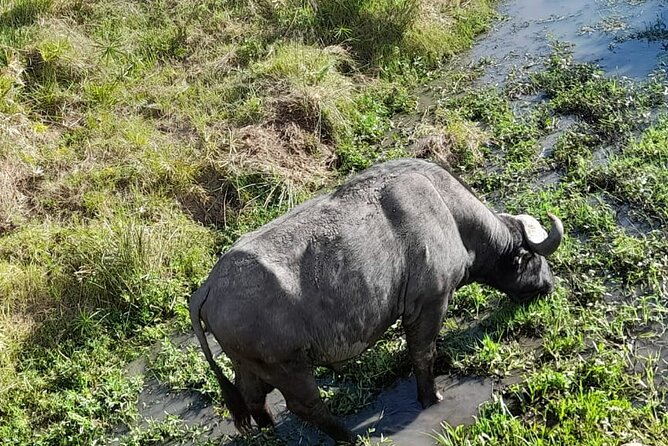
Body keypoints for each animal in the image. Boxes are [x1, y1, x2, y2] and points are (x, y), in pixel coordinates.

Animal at [189, 158, 563, 443]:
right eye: (532, 259)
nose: (549, 284)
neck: (447, 212)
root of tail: (207, 288)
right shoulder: (428, 304)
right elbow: (423, 354)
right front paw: (431, 397)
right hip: (289, 367)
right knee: (305, 406)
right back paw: (348, 437)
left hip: (250, 367)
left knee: (253, 399)